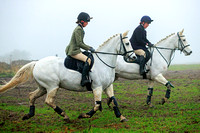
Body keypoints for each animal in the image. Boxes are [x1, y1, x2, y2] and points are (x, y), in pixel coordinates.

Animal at [0, 30, 133, 122]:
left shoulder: (108, 86)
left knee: (32, 96)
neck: (104, 61)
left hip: (43, 87)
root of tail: (36, 63)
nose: (133, 57)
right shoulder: (97, 87)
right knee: (49, 101)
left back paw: (29, 115)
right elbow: (96, 106)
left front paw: (121, 117)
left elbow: (114, 101)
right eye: (127, 43)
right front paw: (84, 115)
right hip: (52, 86)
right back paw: (65, 116)